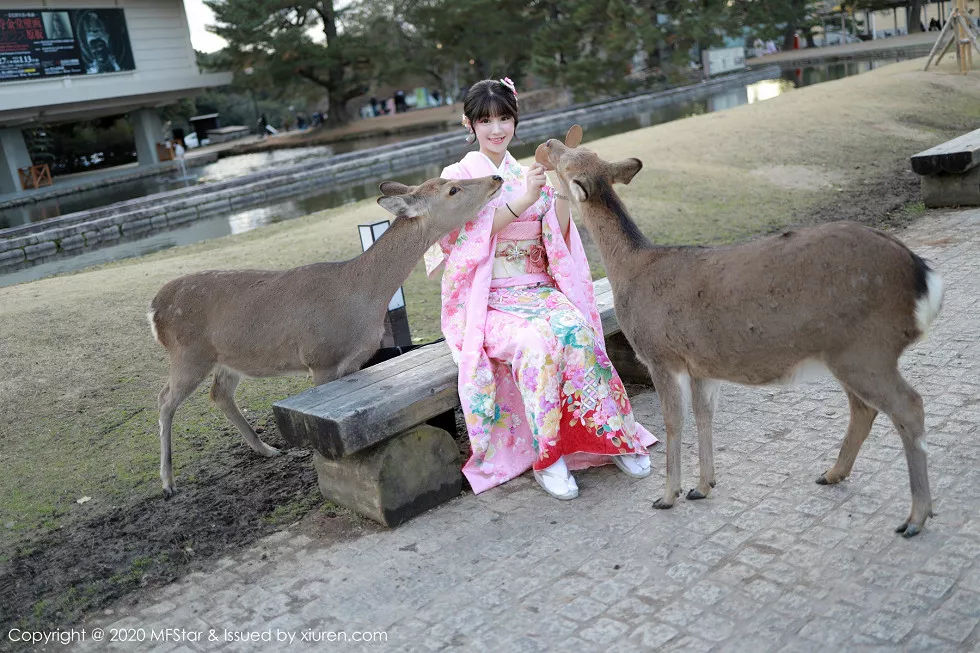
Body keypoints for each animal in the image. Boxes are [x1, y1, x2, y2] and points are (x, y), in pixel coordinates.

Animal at [148, 173, 502, 494]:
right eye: (452, 189)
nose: (495, 178)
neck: (362, 297)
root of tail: (154, 309)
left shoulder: (354, 360)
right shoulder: (321, 358)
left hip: (226, 358)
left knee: (219, 393)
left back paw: (268, 450)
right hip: (188, 353)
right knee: (165, 399)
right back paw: (168, 483)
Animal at [540, 136, 944, 536]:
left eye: (568, 162)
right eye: (585, 152)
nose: (550, 143)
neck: (630, 269)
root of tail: (924, 278)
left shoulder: (660, 355)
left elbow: (674, 421)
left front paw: (668, 495)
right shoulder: (701, 364)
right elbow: (704, 414)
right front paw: (703, 486)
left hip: (866, 348)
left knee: (908, 405)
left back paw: (915, 517)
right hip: (847, 353)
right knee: (864, 408)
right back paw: (832, 474)